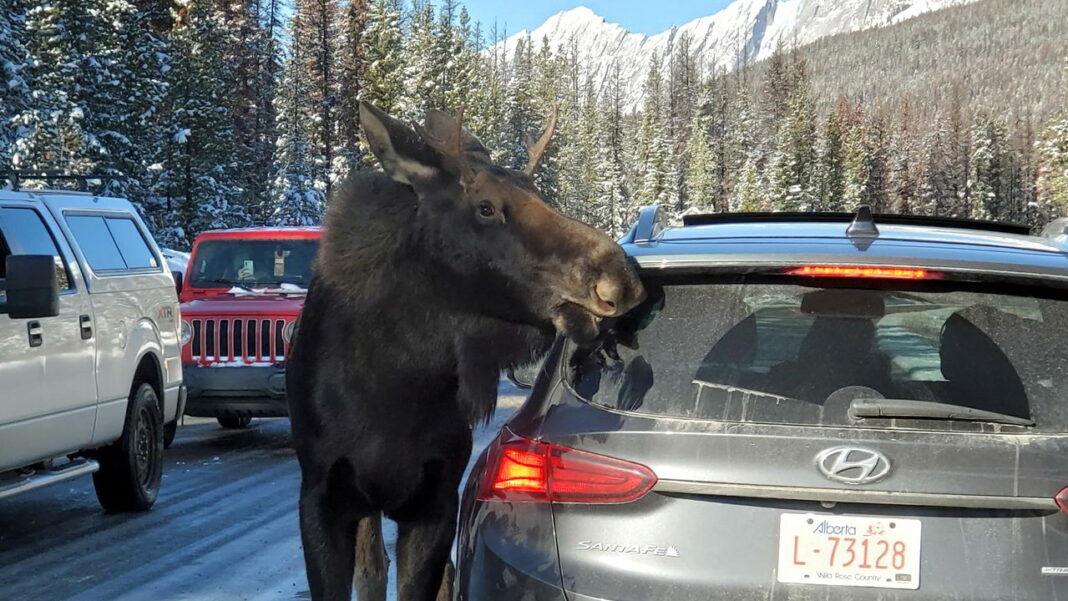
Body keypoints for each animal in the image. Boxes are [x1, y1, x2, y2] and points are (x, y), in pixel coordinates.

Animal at [285, 101, 645, 601]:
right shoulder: (321, 496)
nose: (620, 278)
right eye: (486, 207)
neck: (395, 389)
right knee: (372, 566)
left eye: (540, 194)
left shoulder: (437, 499)